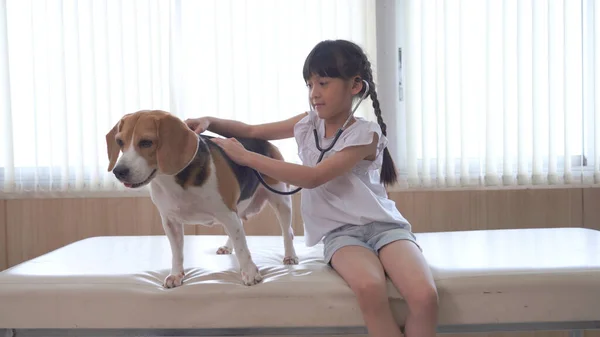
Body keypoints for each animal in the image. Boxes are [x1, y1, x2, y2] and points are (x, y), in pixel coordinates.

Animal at [105, 109, 300, 286]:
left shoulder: (227, 213)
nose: (118, 171)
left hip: (281, 201)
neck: (171, 179)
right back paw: (227, 246)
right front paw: (176, 275)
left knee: (287, 232)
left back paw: (290, 256)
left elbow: (242, 247)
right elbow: (177, 252)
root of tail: (267, 143)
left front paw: (250, 273)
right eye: (120, 142)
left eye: (146, 142)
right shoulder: (170, 221)